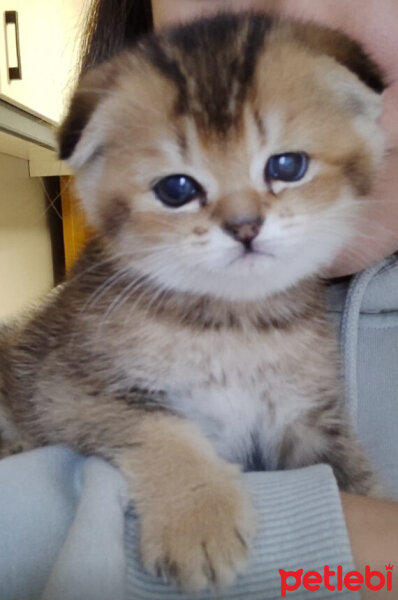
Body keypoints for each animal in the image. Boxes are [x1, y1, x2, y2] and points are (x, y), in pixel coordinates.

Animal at [0, 12, 386, 592]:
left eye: (287, 166)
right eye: (177, 189)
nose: (245, 227)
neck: (232, 326)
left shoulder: (308, 416)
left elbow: (347, 471)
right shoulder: (61, 389)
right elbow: (158, 426)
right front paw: (198, 518)